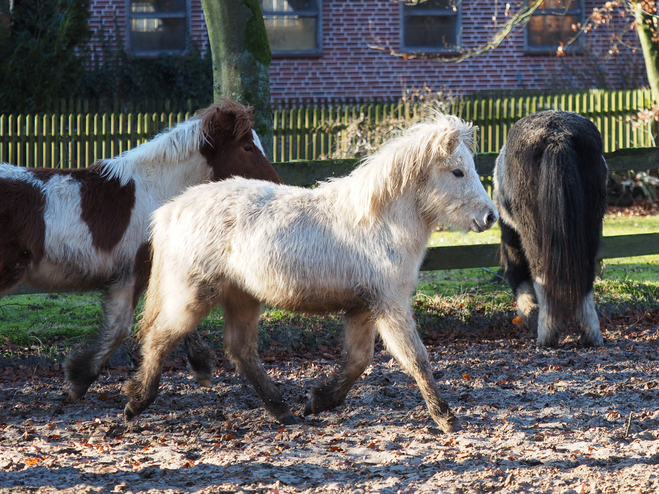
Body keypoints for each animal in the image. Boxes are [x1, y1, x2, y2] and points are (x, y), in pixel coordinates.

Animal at [0, 100, 282, 402]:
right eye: (247, 147)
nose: (276, 184)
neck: (153, 191)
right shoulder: (133, 271)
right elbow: (120, 328)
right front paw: (79, 379)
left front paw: (201, 366)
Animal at [124, 112, 498, 432]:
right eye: (457, 172)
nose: (491, 216)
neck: (379, 222)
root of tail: (170, 210)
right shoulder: (390, 304)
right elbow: (415, 358)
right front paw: (446, 417)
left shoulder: (364, 307)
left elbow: (359, 360)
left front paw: (318, 401)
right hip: (193, 294)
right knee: (159, 338)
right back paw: (136, 402)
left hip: (241, 297)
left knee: (240, 350)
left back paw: (281, 410)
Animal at [496, 110, 608, 346]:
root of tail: (558, 135)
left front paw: (530, 314)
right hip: (590, 229)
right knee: (586, 276)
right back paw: (591, 335)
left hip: (533, 233)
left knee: (541, 277)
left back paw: (547, 335)